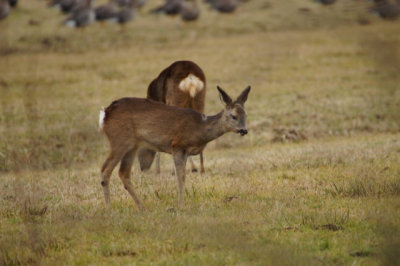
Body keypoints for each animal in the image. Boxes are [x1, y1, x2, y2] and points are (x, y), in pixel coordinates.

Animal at [98, 86, 250, 209]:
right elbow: (180, 177)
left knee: (123, 173)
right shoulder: (177, 145)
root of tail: (105, 114)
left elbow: (182, 176)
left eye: (246, 115)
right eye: (234, 116)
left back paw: (142, 207)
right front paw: (181, 205)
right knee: (105, 169)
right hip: (120, 140)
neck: (200, 128)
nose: (244, 130)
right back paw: (109, 208)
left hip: (133, 145)